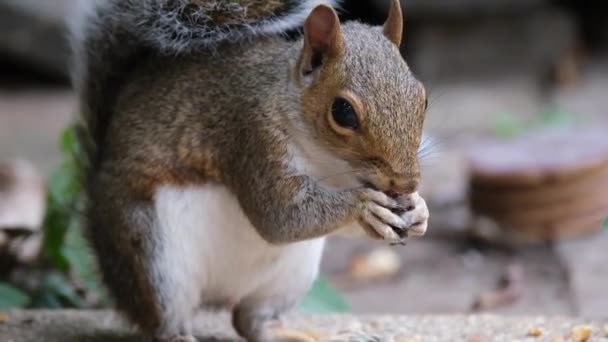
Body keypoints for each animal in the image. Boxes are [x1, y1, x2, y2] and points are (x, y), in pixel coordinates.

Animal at [67, 0, 428, 342]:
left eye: (423, 99)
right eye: (343, 112)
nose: (405, 182)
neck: (328, 163)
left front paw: (419, 211)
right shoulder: (251, 136)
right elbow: (280, 216)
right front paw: (365, 206)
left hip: (288, 277)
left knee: (253, 323)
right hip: (153, 256)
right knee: (163, 320)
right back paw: (178, 335)